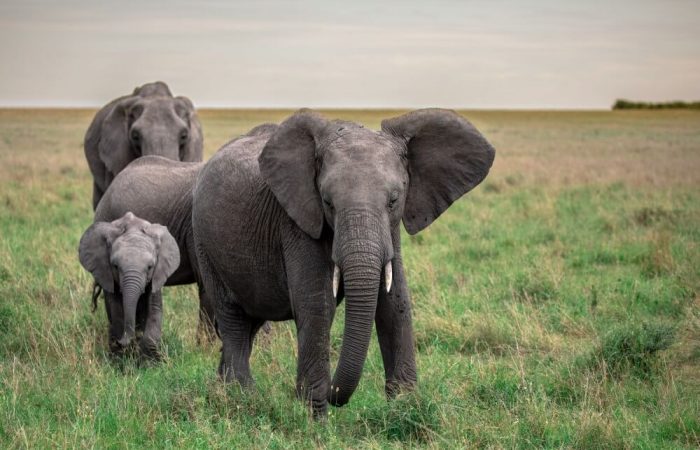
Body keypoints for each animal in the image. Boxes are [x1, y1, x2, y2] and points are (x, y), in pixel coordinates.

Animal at [78, 211, 180, 358]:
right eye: (115, 266)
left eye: (150, 267)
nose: (121, 341)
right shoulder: (107, 273)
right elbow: (116, 309)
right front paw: (122, 356)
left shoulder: (157, 275)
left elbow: (154, 308)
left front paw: (150, 361)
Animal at [194, 109, 494, 418]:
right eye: (328, 202)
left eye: (393, 200)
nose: (334, 394)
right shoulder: (296, 222)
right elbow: (318, 304)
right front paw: (315, 420)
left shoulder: (391, 230)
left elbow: (394, 302)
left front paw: (405, 408)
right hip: (205, 245)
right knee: (234, 320)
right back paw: (242, 397)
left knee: (251, 322)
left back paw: (223, 390)